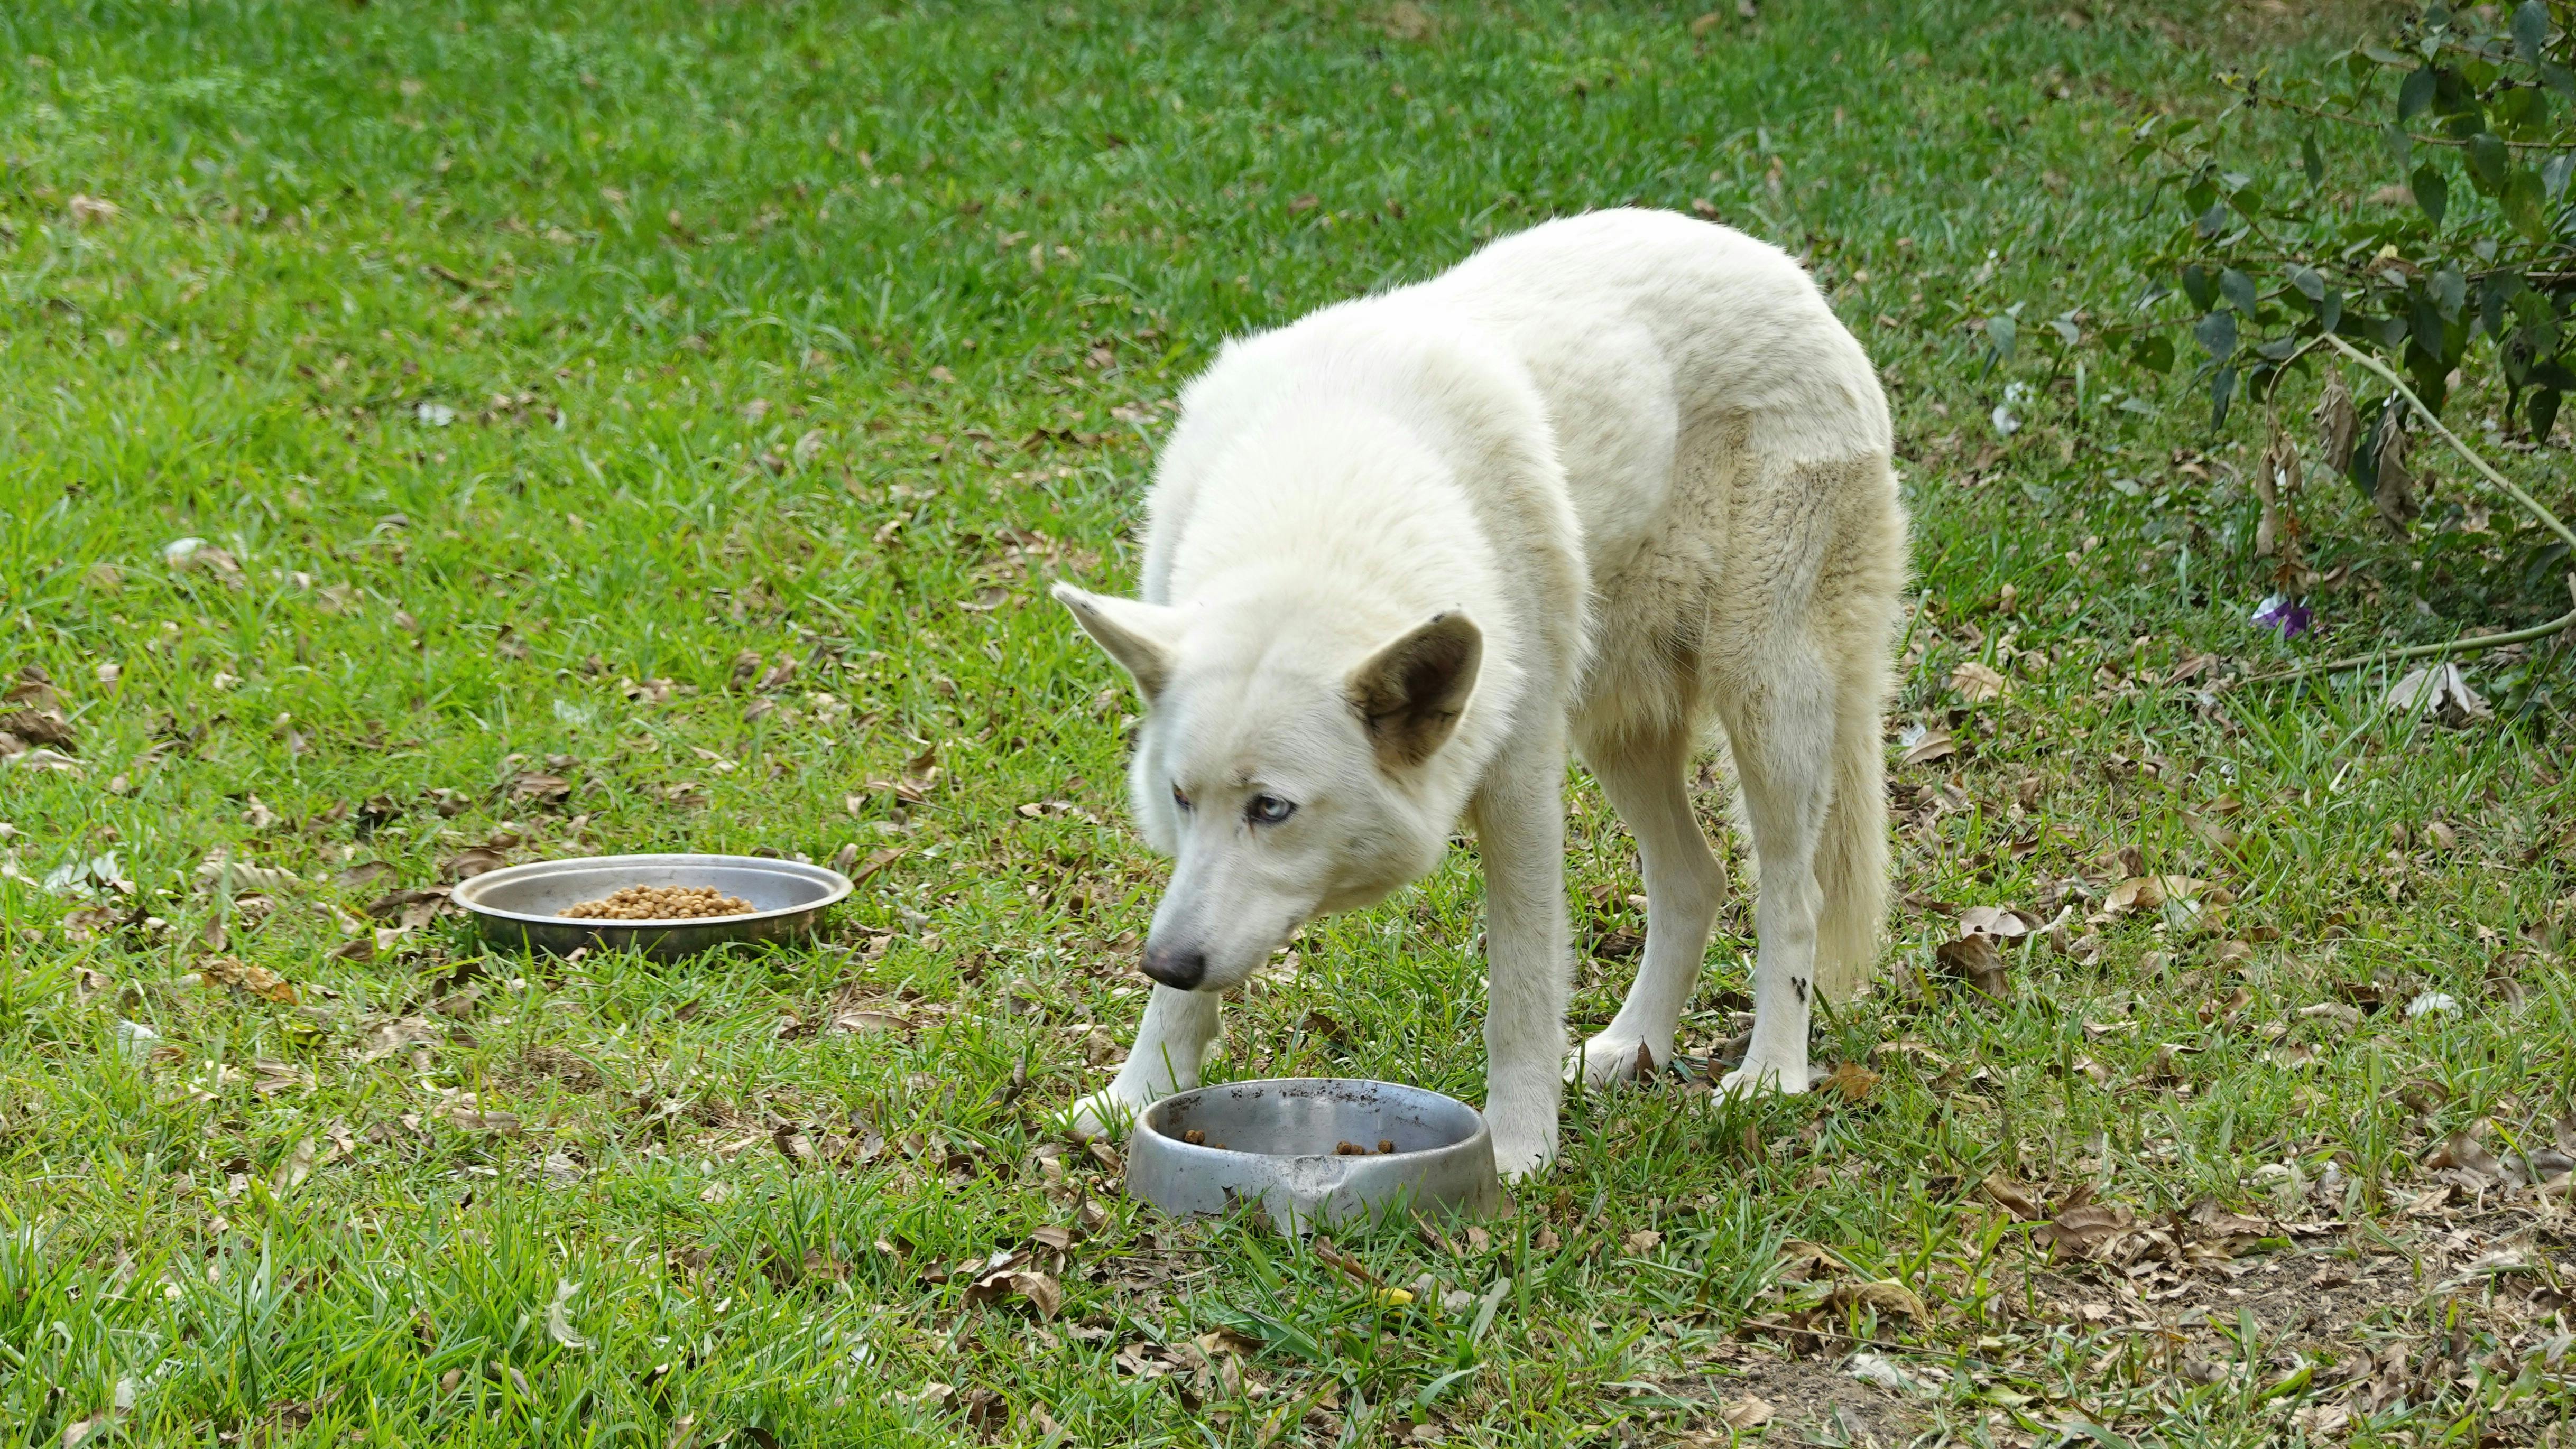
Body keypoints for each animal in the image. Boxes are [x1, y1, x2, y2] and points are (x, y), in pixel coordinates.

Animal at [1051, 207, 1916, 1178]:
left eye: (1271, 808)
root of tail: (1784, 270)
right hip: (1620, 728)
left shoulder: (1518, 792)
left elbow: (1522, 994)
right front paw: (1136, 1095)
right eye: (1178, 798)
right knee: (1696, 877)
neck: (1326, 510)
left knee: (1789, 895)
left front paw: (1515, 1150)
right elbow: (1186, 989)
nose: (1161, 959)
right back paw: (1628, 1049)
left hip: (1764, 700)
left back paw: (1770, 1074)